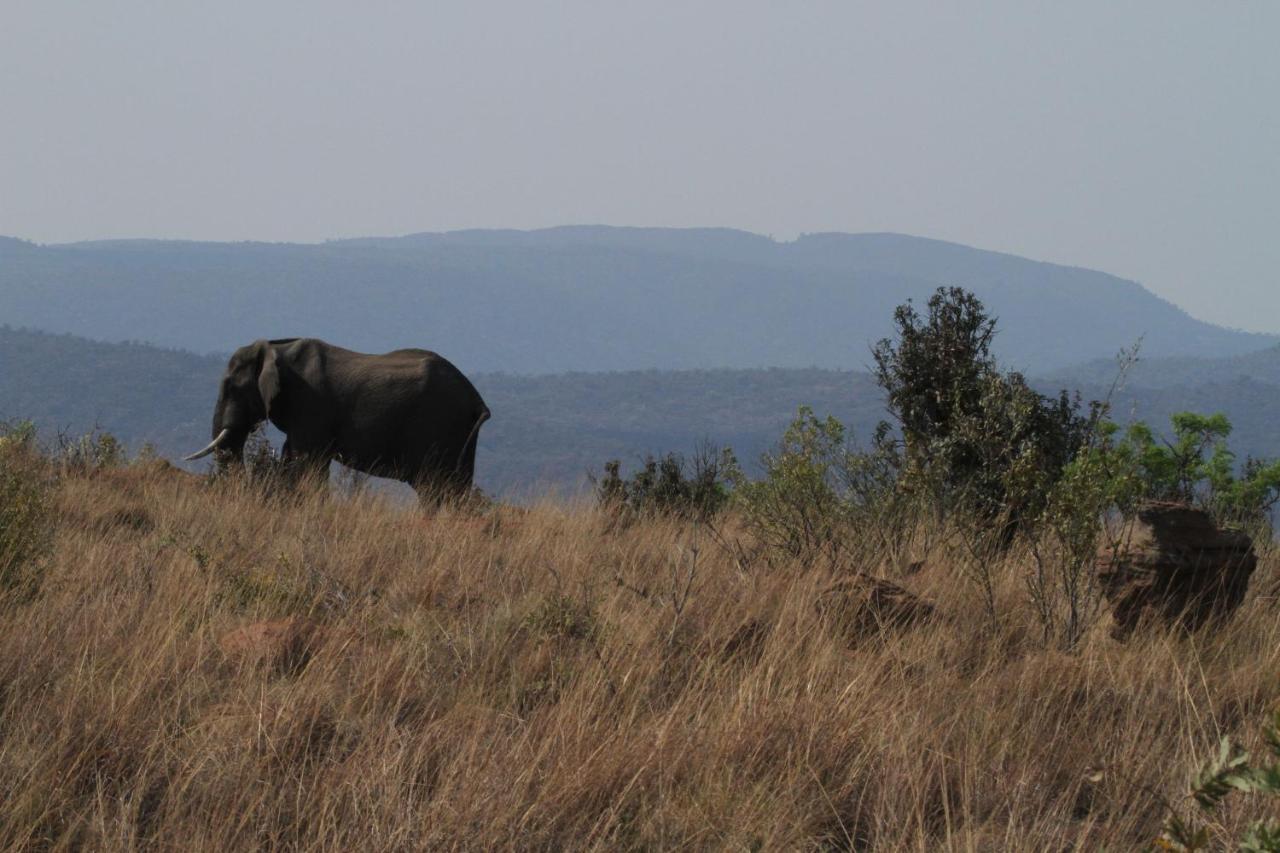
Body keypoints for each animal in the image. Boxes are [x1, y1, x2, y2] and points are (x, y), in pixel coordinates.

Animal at [185, 338, 488, 499]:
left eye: (231, 387)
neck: (274, 347)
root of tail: (477, 401)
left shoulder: (310, 403)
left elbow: (305, 461)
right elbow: (293, 456)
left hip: (440, 426)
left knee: (435, 488)